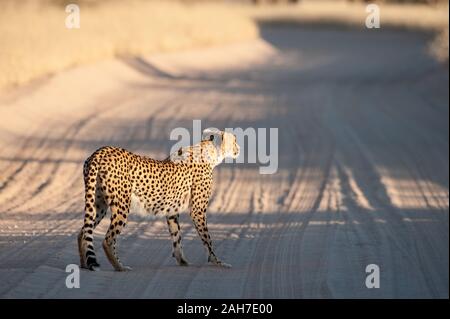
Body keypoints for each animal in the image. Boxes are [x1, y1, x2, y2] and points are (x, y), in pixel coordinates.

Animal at [78, 129, 239, 272]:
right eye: (234, 140)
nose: (238, 148)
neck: (209, 150)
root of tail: (100, 151)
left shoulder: (172, 211)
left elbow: (177, 236)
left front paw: (183, 261)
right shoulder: (197, 210)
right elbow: (207, 239)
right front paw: (218, 262)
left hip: (98, 204)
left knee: (84, 231)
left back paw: (85, 264)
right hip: (121, 205)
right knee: (107, 240)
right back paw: (120, 267)